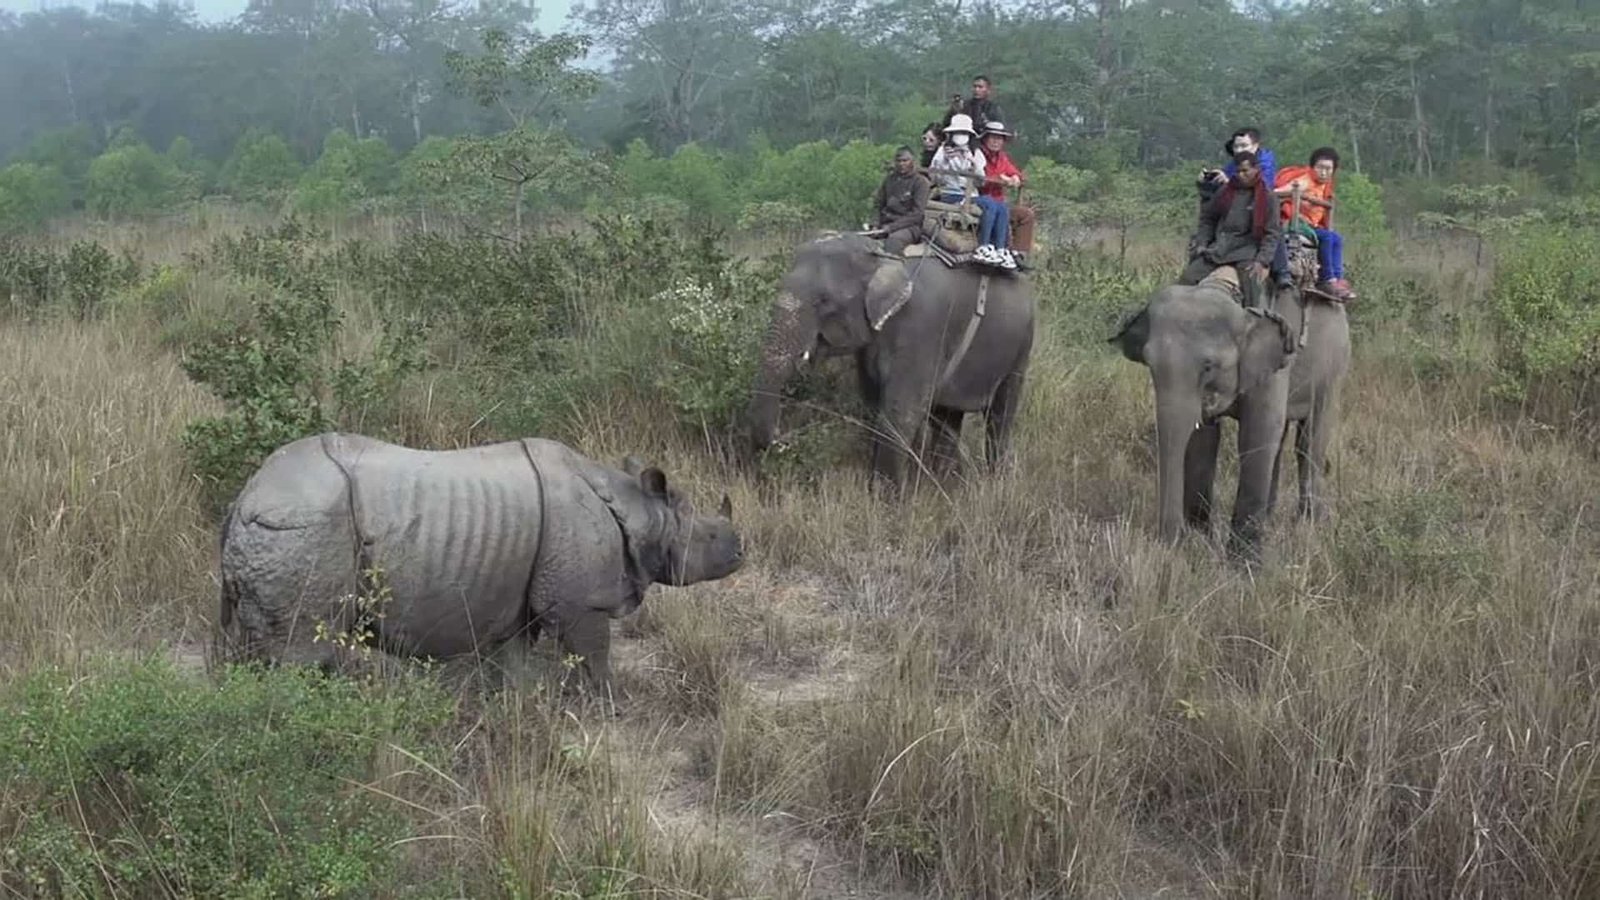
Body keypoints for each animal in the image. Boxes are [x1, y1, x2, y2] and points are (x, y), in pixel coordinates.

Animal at [217, 432, 742, 688]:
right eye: (709, 535)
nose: (741, 551)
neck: (639, 511)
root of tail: (245, 498)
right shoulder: (580, 602)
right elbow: (594, 656)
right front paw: (607, 702)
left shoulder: (521, 597)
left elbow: (516, 660)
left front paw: (522, 703)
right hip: (302, 525)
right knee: (301, 652)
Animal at [748, 230, 1036, 483]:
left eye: (824, 301)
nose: (783, 440)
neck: (881, 257)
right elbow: (872, 406)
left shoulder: (923, 327)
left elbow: (900, 414)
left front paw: (889, 501)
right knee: (948, 418)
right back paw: (945, 482)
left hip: (1023, 342)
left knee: (1000, 416)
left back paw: (993, 480)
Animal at [1113, 278, 1350, 560]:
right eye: (1149, 363)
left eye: (1208, 366)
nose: (1171, 544)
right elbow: (1204, 438)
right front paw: (1201, 541)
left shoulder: (1276, 360)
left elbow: (1256, 433)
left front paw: (1243, 560)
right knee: (1280, 443)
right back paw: (1269, 521)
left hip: (1334, 365)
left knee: (1309, 441)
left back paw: (1308, 526)